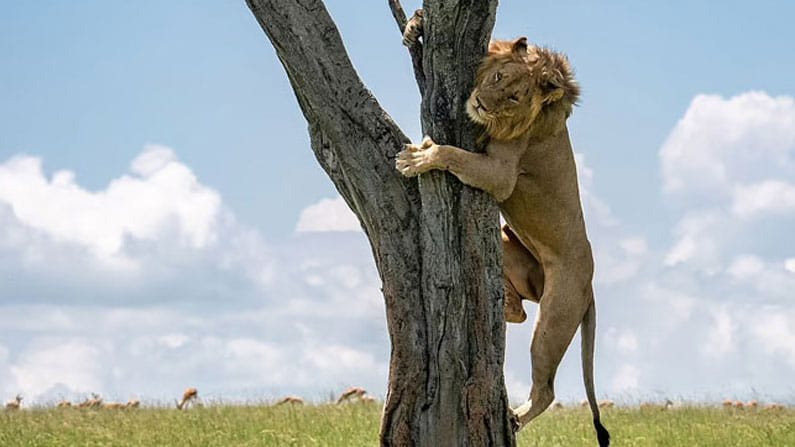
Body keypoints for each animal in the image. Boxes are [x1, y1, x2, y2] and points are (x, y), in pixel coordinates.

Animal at [397, 14, 610, 447]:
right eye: (497, 77)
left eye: (513, 98)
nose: (479, 103)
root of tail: (591, 284)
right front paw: (416, 25)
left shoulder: (502, 174)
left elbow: (452, 153)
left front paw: (418, 158)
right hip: (508, 243)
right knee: (517, 313)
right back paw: (506, 305)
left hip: (555, 317)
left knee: (546, 386)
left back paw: (513, 417)